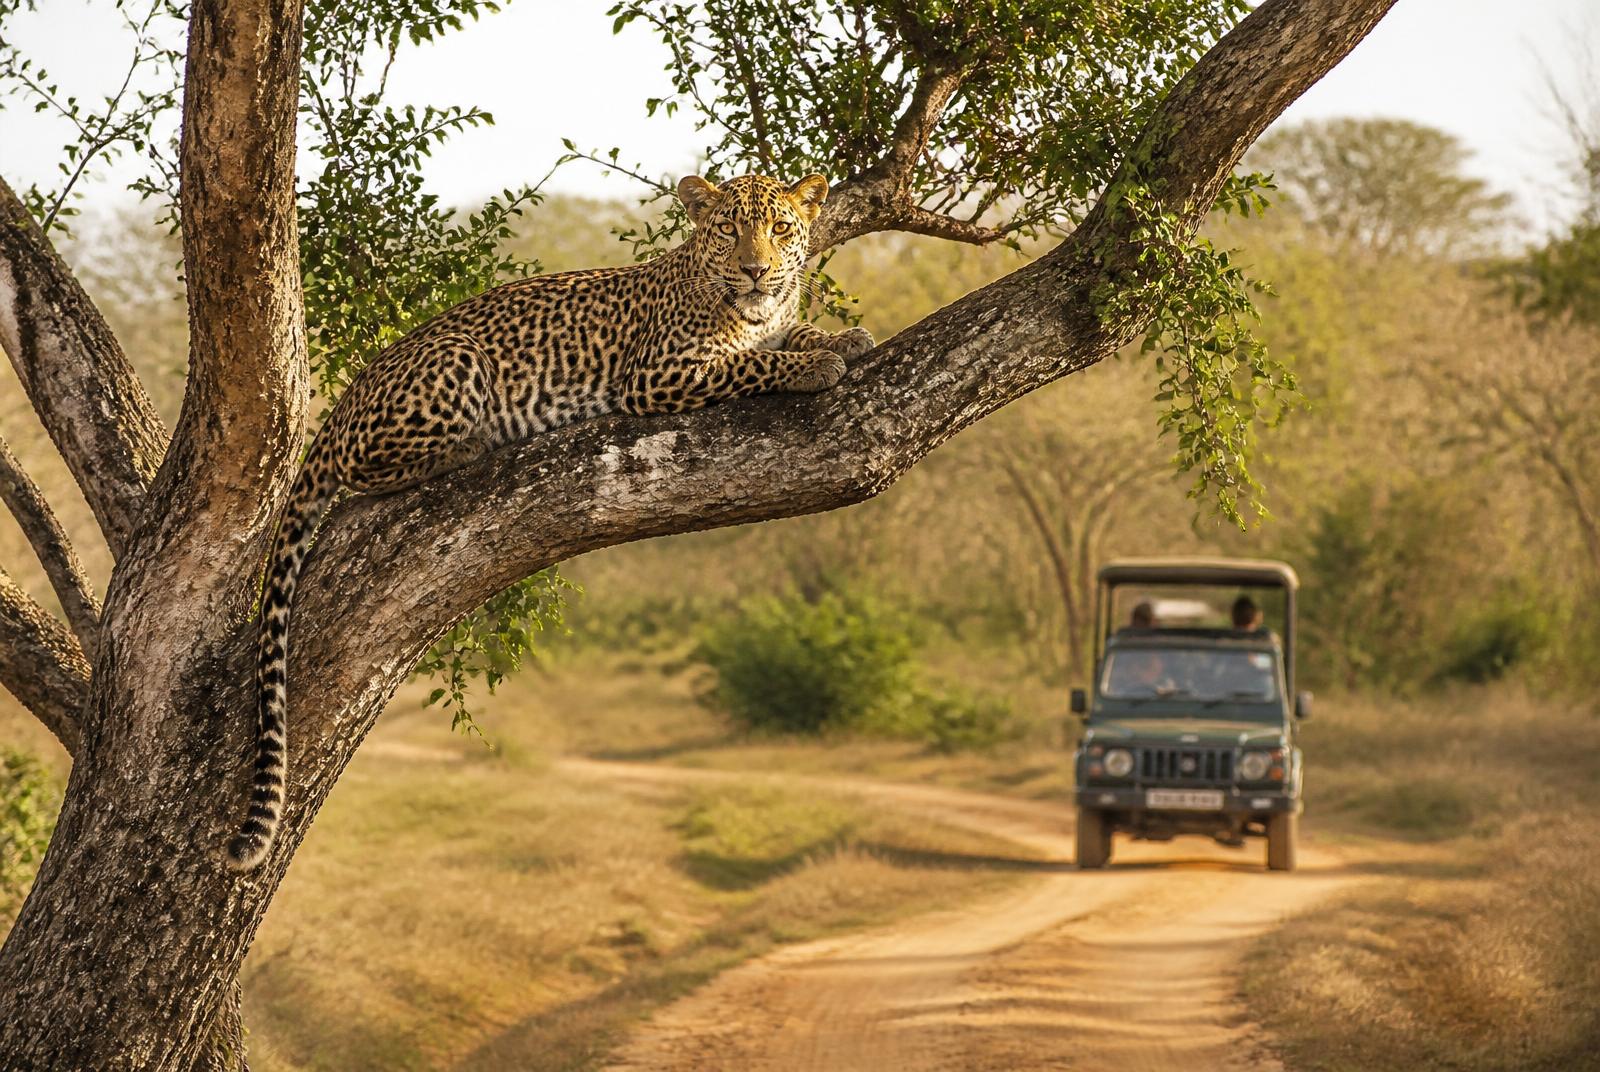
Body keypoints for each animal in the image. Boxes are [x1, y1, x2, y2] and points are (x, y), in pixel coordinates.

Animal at [226, 172, 874, 872]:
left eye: (780, 228)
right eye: (729, 228)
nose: (756, 270)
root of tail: (343, 401)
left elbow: (792, 334)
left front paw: (840, 338)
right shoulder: (658, 374)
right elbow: (750, 364)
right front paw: (814, 364)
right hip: (454, 360)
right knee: (365, 469)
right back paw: (472, 444)